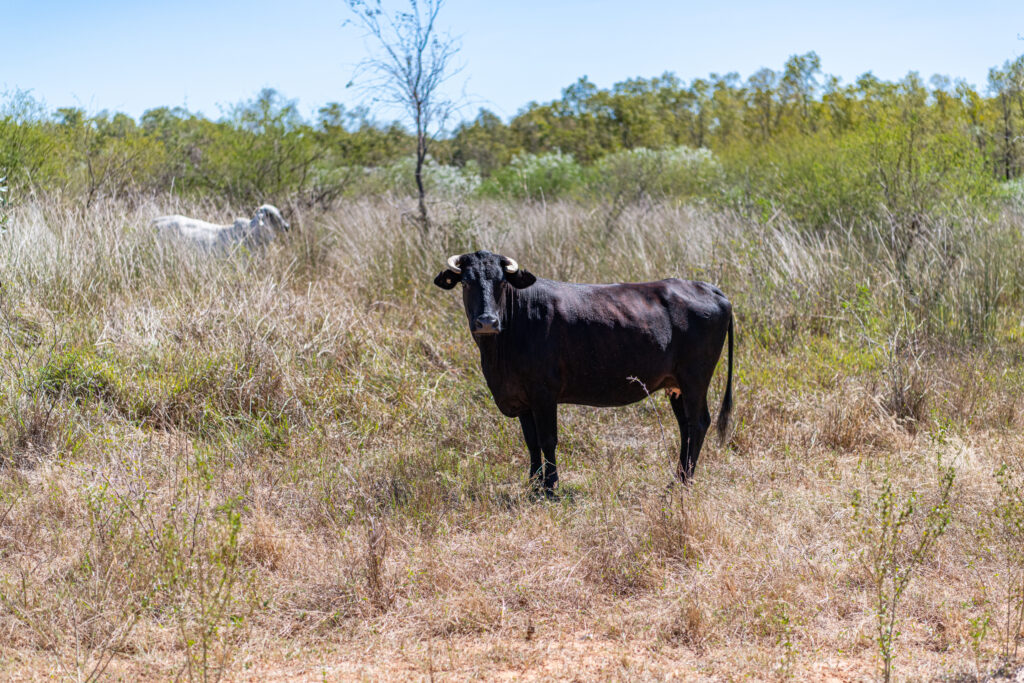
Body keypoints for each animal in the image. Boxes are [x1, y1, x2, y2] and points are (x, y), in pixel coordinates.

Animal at [434, 250, 734, 493]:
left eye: (501, 282)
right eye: (466, 282)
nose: (487, 321)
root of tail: (706, 287)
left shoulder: (544, 394)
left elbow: (547, 439)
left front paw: (550, 488)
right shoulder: (522, 399)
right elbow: (531, 442)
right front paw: (533, 485)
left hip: (695, 379)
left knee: (698, 423)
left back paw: (684, 484)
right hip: (676, 385)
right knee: (686, 428)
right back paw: (677, 480)